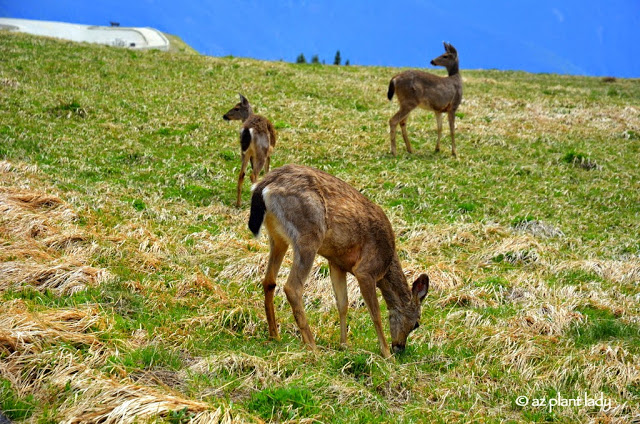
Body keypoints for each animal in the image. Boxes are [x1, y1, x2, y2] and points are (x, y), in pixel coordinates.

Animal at [250, 164, 430, 356]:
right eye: (416, 323)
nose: (399, 347)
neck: (386, 265)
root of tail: (264, 186)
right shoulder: (366, 270)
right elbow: (375, 313)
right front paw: (386, 354)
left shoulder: (336, 262)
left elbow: (343, 304)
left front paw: (344, 344)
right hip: (308, 234)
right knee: (292, 287)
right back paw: (312, 346)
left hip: (277, 237)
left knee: (269, 281)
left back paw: (274, 335)